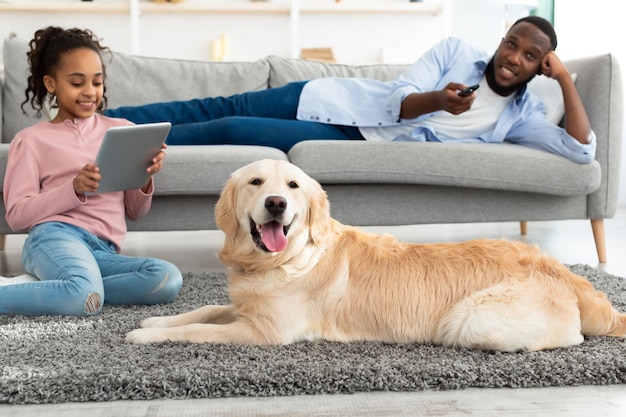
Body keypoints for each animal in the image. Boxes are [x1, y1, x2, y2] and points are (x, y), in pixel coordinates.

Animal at [124, 159, 624, 352]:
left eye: (293, 186)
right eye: (255, 183)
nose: (276, 204)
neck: (283, 260)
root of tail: (560, 269)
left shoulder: (264, 332)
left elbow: (200, 330)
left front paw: (147, 335)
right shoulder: (247, 308)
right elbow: (206, 308)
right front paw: (158, 319)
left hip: (471, 320)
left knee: (572, 338)